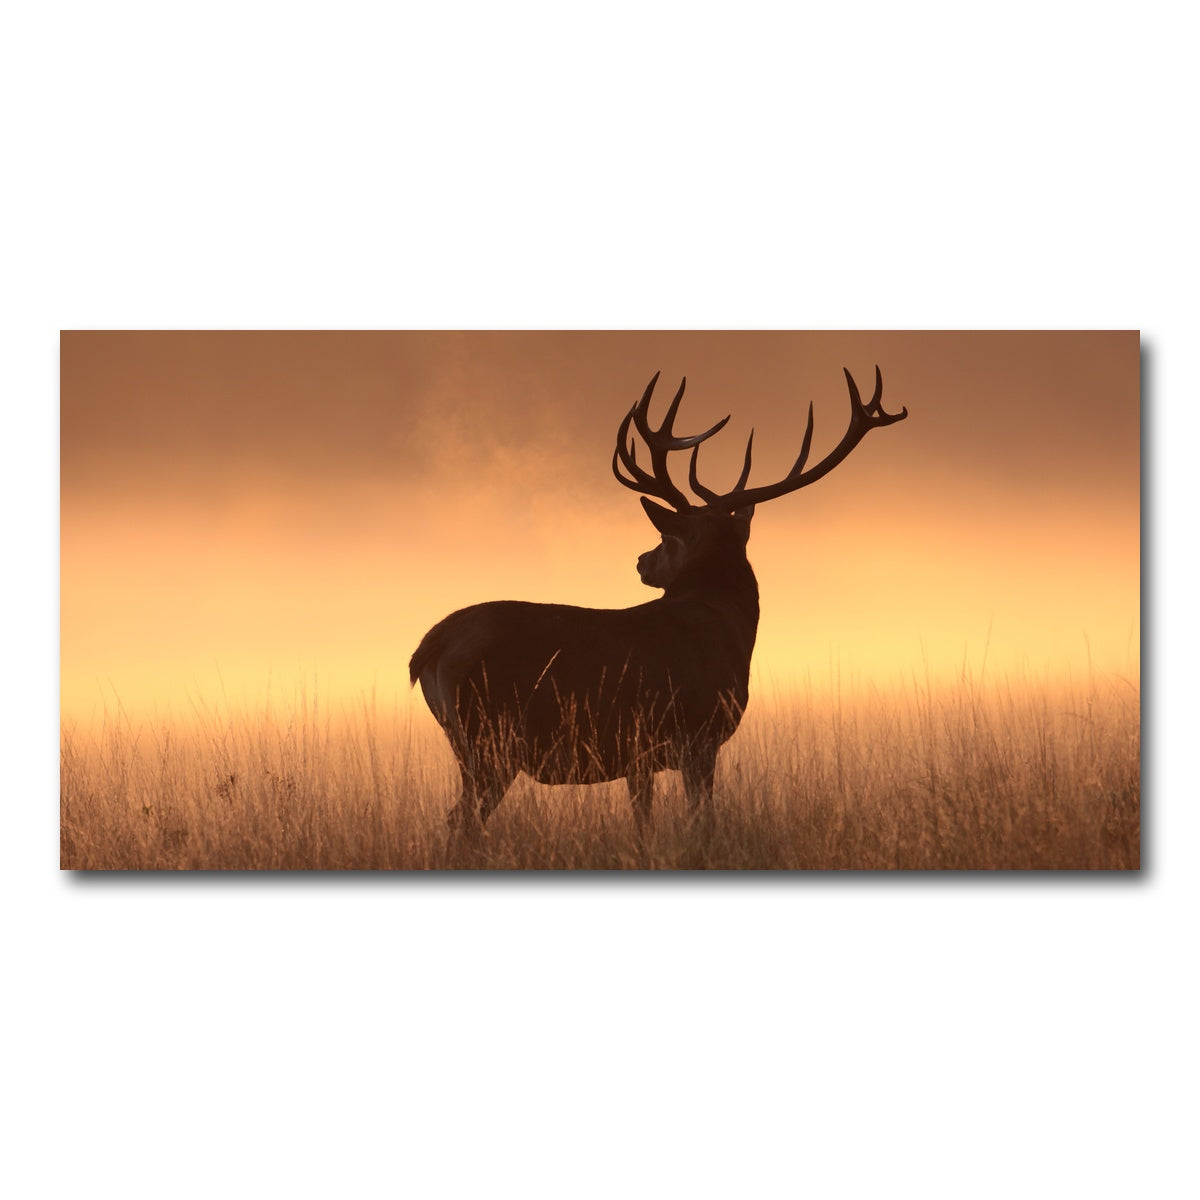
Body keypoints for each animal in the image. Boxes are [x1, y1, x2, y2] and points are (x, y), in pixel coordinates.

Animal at [409, 366, 907, 838]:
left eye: (665, 540)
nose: (641, 561)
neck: (728, 629)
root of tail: (428, 649)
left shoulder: (640, 756)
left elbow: (643, 822)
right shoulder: (698, 735)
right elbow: (702, 820)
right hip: (490, 738)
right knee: (460, 821)